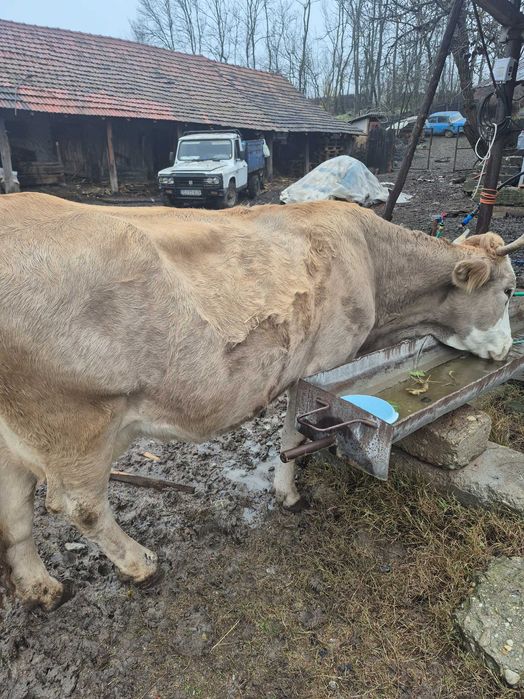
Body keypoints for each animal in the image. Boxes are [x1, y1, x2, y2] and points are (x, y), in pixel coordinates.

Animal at [0, 192, 520, 610]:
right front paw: (289, 493)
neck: (372, 261)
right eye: (510, 288)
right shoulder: (317, 365)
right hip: (76, 421)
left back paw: (41, 589)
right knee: (79, 506)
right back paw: (141, 563)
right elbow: (294, 431)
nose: (507, 351)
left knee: (15, 510)